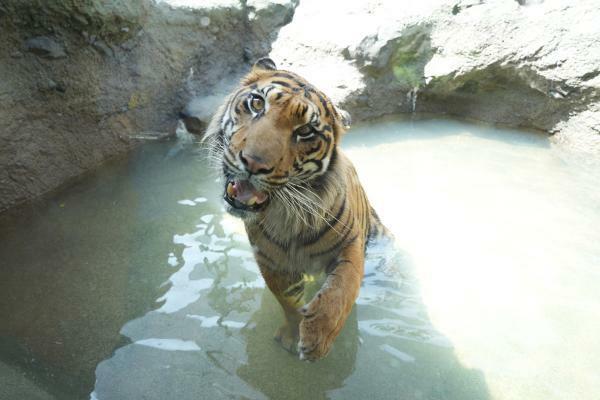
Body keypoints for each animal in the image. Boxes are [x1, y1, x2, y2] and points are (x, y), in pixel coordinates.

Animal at [204, 56, 386, 360]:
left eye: (305, 132)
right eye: (257, 104)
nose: (253, 163)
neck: (287, 214)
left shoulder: (350, 243)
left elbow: (342, 289)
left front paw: (319, 338)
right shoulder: (271, 260)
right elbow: (288, 302)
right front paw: (294, 334)